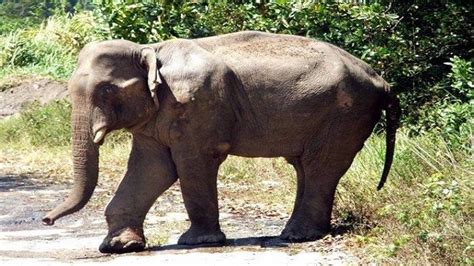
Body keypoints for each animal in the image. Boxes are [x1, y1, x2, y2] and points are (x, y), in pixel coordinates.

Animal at [43, 30, 400, 254]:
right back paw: (296, 233)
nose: (46, 220)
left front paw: (197, 242)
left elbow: (192, 164)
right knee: (306, 167)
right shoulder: (158, 115)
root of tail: (383, 82)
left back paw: (298, 236)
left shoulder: (196, 105)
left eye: (106, 90)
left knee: (320, 167)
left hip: (345, 114)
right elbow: (152, 168)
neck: (150, 48)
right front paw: (119, 247)